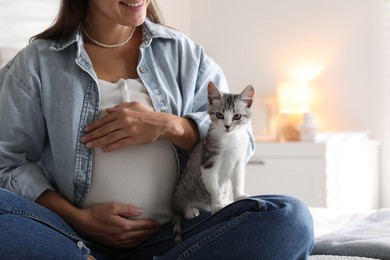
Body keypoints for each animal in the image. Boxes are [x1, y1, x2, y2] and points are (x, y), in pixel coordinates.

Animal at [172, 81, 254, 244]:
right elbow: (214, 187)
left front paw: (238, 196)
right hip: (182, 189)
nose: (227, 126)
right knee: (180, 207)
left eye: (237, 116)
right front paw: (217, 205)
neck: (230, 139)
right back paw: (189, 210)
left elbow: (238, 181)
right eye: (219, 115)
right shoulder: (209, 161)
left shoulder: (238, 162)